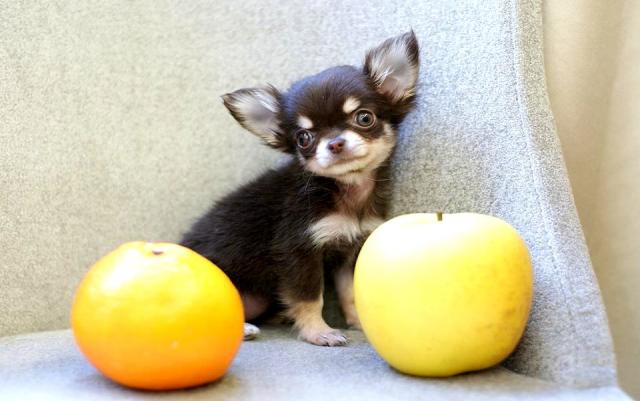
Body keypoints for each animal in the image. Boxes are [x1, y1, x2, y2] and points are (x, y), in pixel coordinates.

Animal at [181, 31, 419, 346]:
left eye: (364, 118)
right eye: (303, 138)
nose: (335, 143)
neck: (345, 191)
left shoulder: (346, 253)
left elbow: (349, 294)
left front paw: (358, 324)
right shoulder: (299, 251)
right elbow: (310, 298)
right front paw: (319, 332)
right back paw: (246, 329)